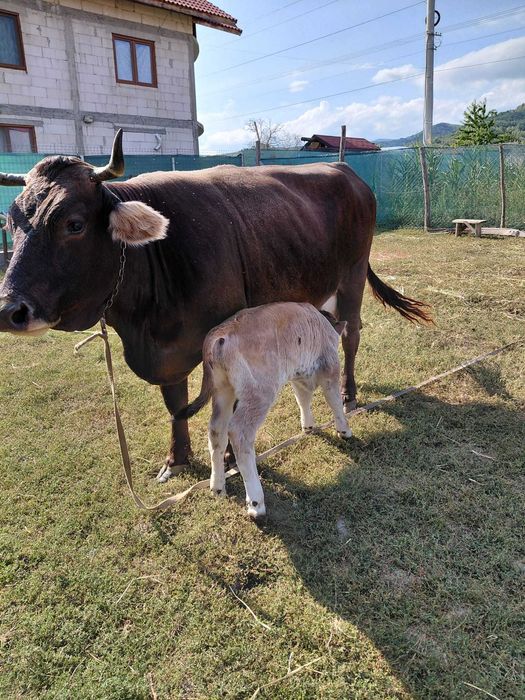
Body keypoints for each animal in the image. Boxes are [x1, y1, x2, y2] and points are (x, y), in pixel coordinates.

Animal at [0, 130, 430, 479]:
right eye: (11, 222)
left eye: (73, 224)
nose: (8, 310)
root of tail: (344, 169)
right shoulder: (167, 352)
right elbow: (175, 403)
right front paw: (177, 459)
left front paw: (226, 460)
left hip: (352, 274)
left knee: (351, 332)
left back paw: (348, 392)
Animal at [176, 302, 351, 520]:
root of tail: (219, 336)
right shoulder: (329, 367)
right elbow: (334, 400)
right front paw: (344, 430)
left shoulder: (298, 375)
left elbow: (302, 398)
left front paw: (308, 426)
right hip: (258, 393)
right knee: (239, 433)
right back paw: (256, 504)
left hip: (223, 390)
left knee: (216, 430)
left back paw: (217, 487)